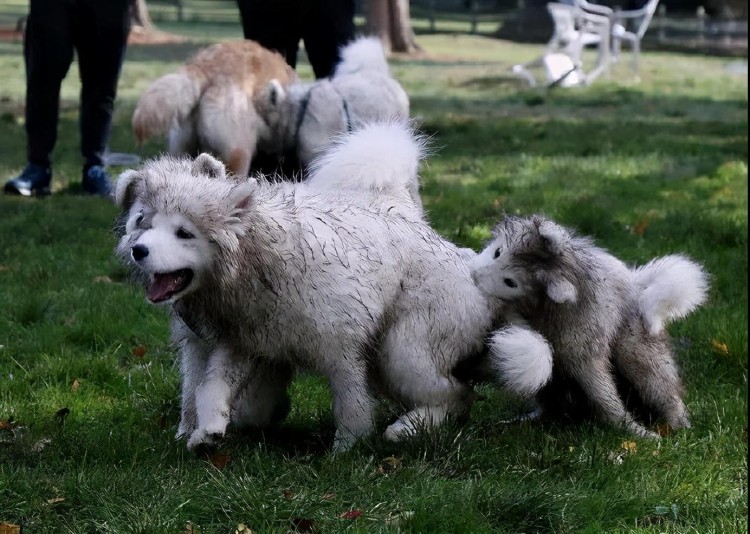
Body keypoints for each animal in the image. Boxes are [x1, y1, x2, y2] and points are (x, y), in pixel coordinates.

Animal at [113, 120, 516, 452]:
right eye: (142, 222)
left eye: (184, 232)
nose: (138, 250)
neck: (255, 257)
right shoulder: (238, 342)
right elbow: (205, 387)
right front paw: (202, 430)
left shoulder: (339, 346)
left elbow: (350, 401)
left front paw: (347, 447)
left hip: (404, 348)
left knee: (456, 394)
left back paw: (408, 428)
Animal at [470, 215, 712, 440]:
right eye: (497, 252)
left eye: (510, 282)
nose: (472, 275)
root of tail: (639, 287)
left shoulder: (584, 348)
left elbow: (605, 396)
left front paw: (634, 430)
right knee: (551, 399)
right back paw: (533, 418)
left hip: (637, 350)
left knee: (658, 384)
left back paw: (678, 422)